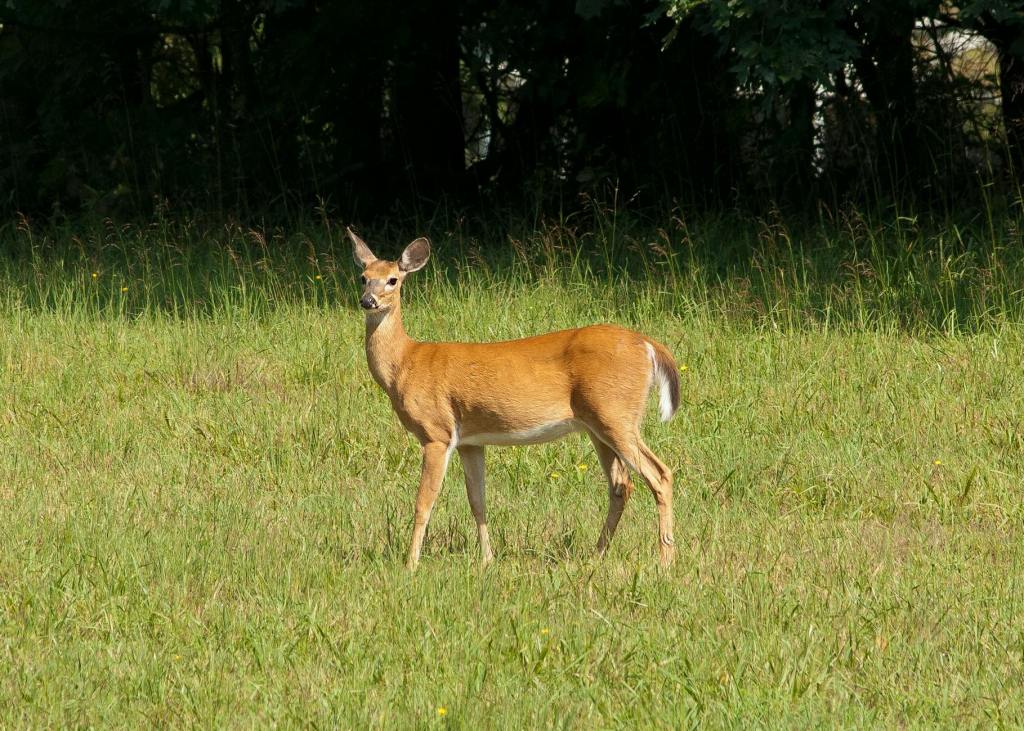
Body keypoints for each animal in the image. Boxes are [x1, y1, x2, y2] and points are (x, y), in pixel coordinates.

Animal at [349, 227, 681, 570]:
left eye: (393, 279)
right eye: (363, 277)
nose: (368, 301)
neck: (405, 363)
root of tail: (648, 344)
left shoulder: (436, 432)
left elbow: (423, 502)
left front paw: (410, 564)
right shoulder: (470, 441)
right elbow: (477, 501)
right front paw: (487, 560)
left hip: (615, 413)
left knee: (660, 474)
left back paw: (665, 560)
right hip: (597, 424)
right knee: (620, 484)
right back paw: (597, 554)